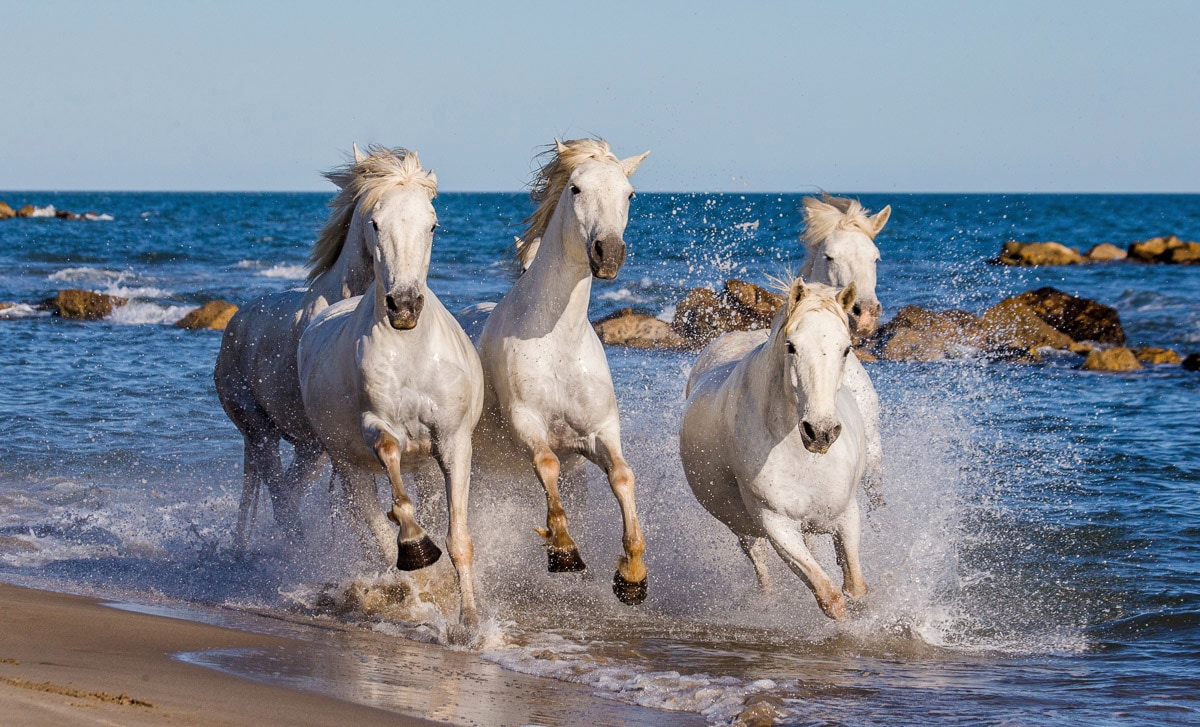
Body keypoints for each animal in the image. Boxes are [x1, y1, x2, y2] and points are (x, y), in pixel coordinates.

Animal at [215, 145, 412, 549]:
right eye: (375, 222)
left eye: (430, 222)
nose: (402, 303)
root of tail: (235, 323)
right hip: (260, 431)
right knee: (281, 498)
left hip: (309, 448)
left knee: (287, 494)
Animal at [296, 154, 485, 630]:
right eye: (376, 223)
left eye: (432, 225)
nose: (404, 306)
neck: (411, 351)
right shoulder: (375, 427)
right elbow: (391, 468)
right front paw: (416, 545)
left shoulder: (453, 442)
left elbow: (458, 538)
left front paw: (470, 624)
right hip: (349, 468)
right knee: (377, 537)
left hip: (426, 468)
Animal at [474, 138, 651, 605]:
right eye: (575, 188)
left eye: (630, 194)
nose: (609, 253)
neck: (557, 343)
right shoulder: (526, 423)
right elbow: (546, 462)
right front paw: (563, 550)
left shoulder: (598, 433)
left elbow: (623, 477)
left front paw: (632, 574)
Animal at [680, 278, 867, 620]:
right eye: (791, 346)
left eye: (846, 348)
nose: (820, 432)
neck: (804, 458)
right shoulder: (777, 524)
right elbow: (830, 596)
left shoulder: (847, 515)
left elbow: (856, 589)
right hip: (746, 529)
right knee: (759, 562)